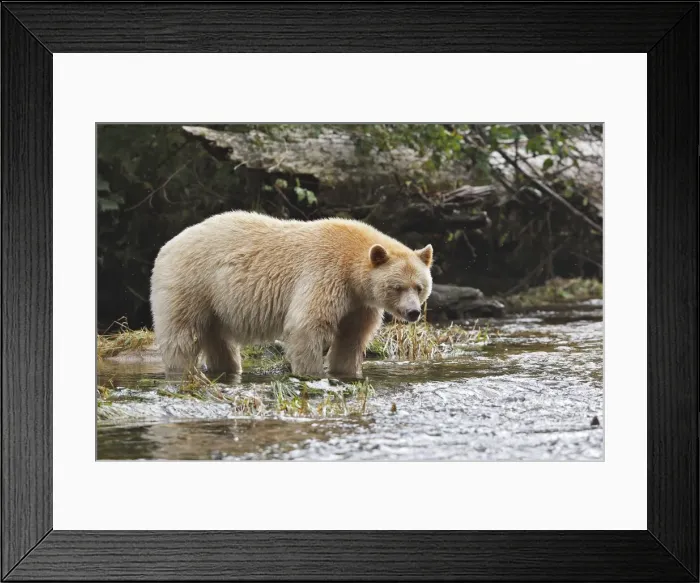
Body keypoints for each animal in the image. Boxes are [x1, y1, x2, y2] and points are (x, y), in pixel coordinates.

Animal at [150, 210, 433, 378]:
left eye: (419, 287)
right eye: (397, 287)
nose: (413, 312)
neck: (352, 268)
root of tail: (167, 245)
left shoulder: (358, 302)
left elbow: (352, 336)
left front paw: (346, 373)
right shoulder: (325, 274)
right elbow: (307, 325)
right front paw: (312, 374)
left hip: (214, 302)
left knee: (218, 339)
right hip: (191, 283)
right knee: (182, 334)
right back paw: (181, 370)